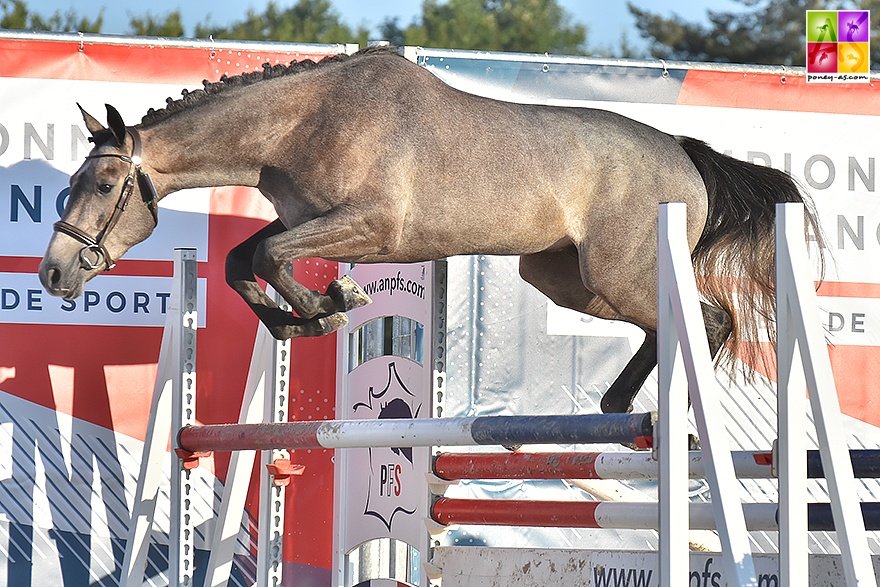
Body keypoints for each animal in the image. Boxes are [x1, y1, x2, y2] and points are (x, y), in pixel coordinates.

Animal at [39, 44, 824, 414]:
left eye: (103, 186)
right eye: (73, 184)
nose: (54, 271)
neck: (299, 124)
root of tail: (685, 156)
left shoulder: (369, 228)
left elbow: (267, 256)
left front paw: (332, 305)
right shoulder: (311, 222)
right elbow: (243, 262)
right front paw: (301, 320)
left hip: (619, 270)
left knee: (710, 320)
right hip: (567, 279)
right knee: (669, 325)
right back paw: (615, 407)